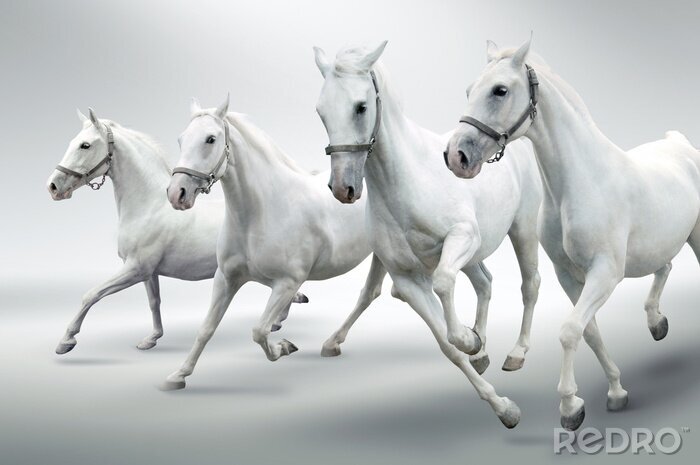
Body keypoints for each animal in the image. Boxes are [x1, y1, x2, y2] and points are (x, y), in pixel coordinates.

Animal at [47, 109, 308, 354]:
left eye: (85, 145)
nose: (53, 186)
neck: (149, 206)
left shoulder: (135, 269)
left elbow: (91, 294)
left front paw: (66, 341)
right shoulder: (149, 272)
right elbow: (154, 302)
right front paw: (151, 339)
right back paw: (281, 319)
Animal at [161, 96, 390, 390]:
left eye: (210, 139)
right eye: (181, 139)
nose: (176, 194)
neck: (262, 212)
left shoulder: (287, 282)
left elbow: (258, 331)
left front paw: (284, 347)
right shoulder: (226, 278)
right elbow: (206, 329)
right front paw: (178, 375)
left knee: (368, 294)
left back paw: (330, 343)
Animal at [314, 42, 543, 428]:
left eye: (361, 107)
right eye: (321, 112)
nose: (343, 188)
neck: (407, 181)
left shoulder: (461, 238)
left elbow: (444, 285)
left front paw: (471, 343)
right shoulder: (407, 279)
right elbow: (447, 345)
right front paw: (500, 401)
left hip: (522, 229)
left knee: (529, 284)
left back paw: (516, 353)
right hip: (475, 256)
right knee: (485, 282)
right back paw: (482, 350)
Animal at [444, 37, 699, 430]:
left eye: (500, 90)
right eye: (470, 90)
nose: (456, 156)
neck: (582, 182)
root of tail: (680, 143)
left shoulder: (605, 274)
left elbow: (568, 331)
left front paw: (569, 407)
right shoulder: (568, 275)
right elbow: (588, 331)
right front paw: (615, 391)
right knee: (665, 268)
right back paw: (657, 322)